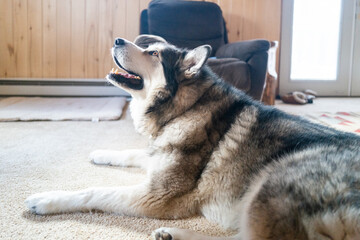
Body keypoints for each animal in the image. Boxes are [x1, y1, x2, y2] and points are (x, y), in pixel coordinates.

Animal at [26, 34, 360, 239]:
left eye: (153, 53)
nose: (118, 39)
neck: (186, 107)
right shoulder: (157, 153)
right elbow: (134, 153)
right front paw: (101, 153)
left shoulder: (155, 195)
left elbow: (93, 192)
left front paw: (47, 199)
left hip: (270, 188)